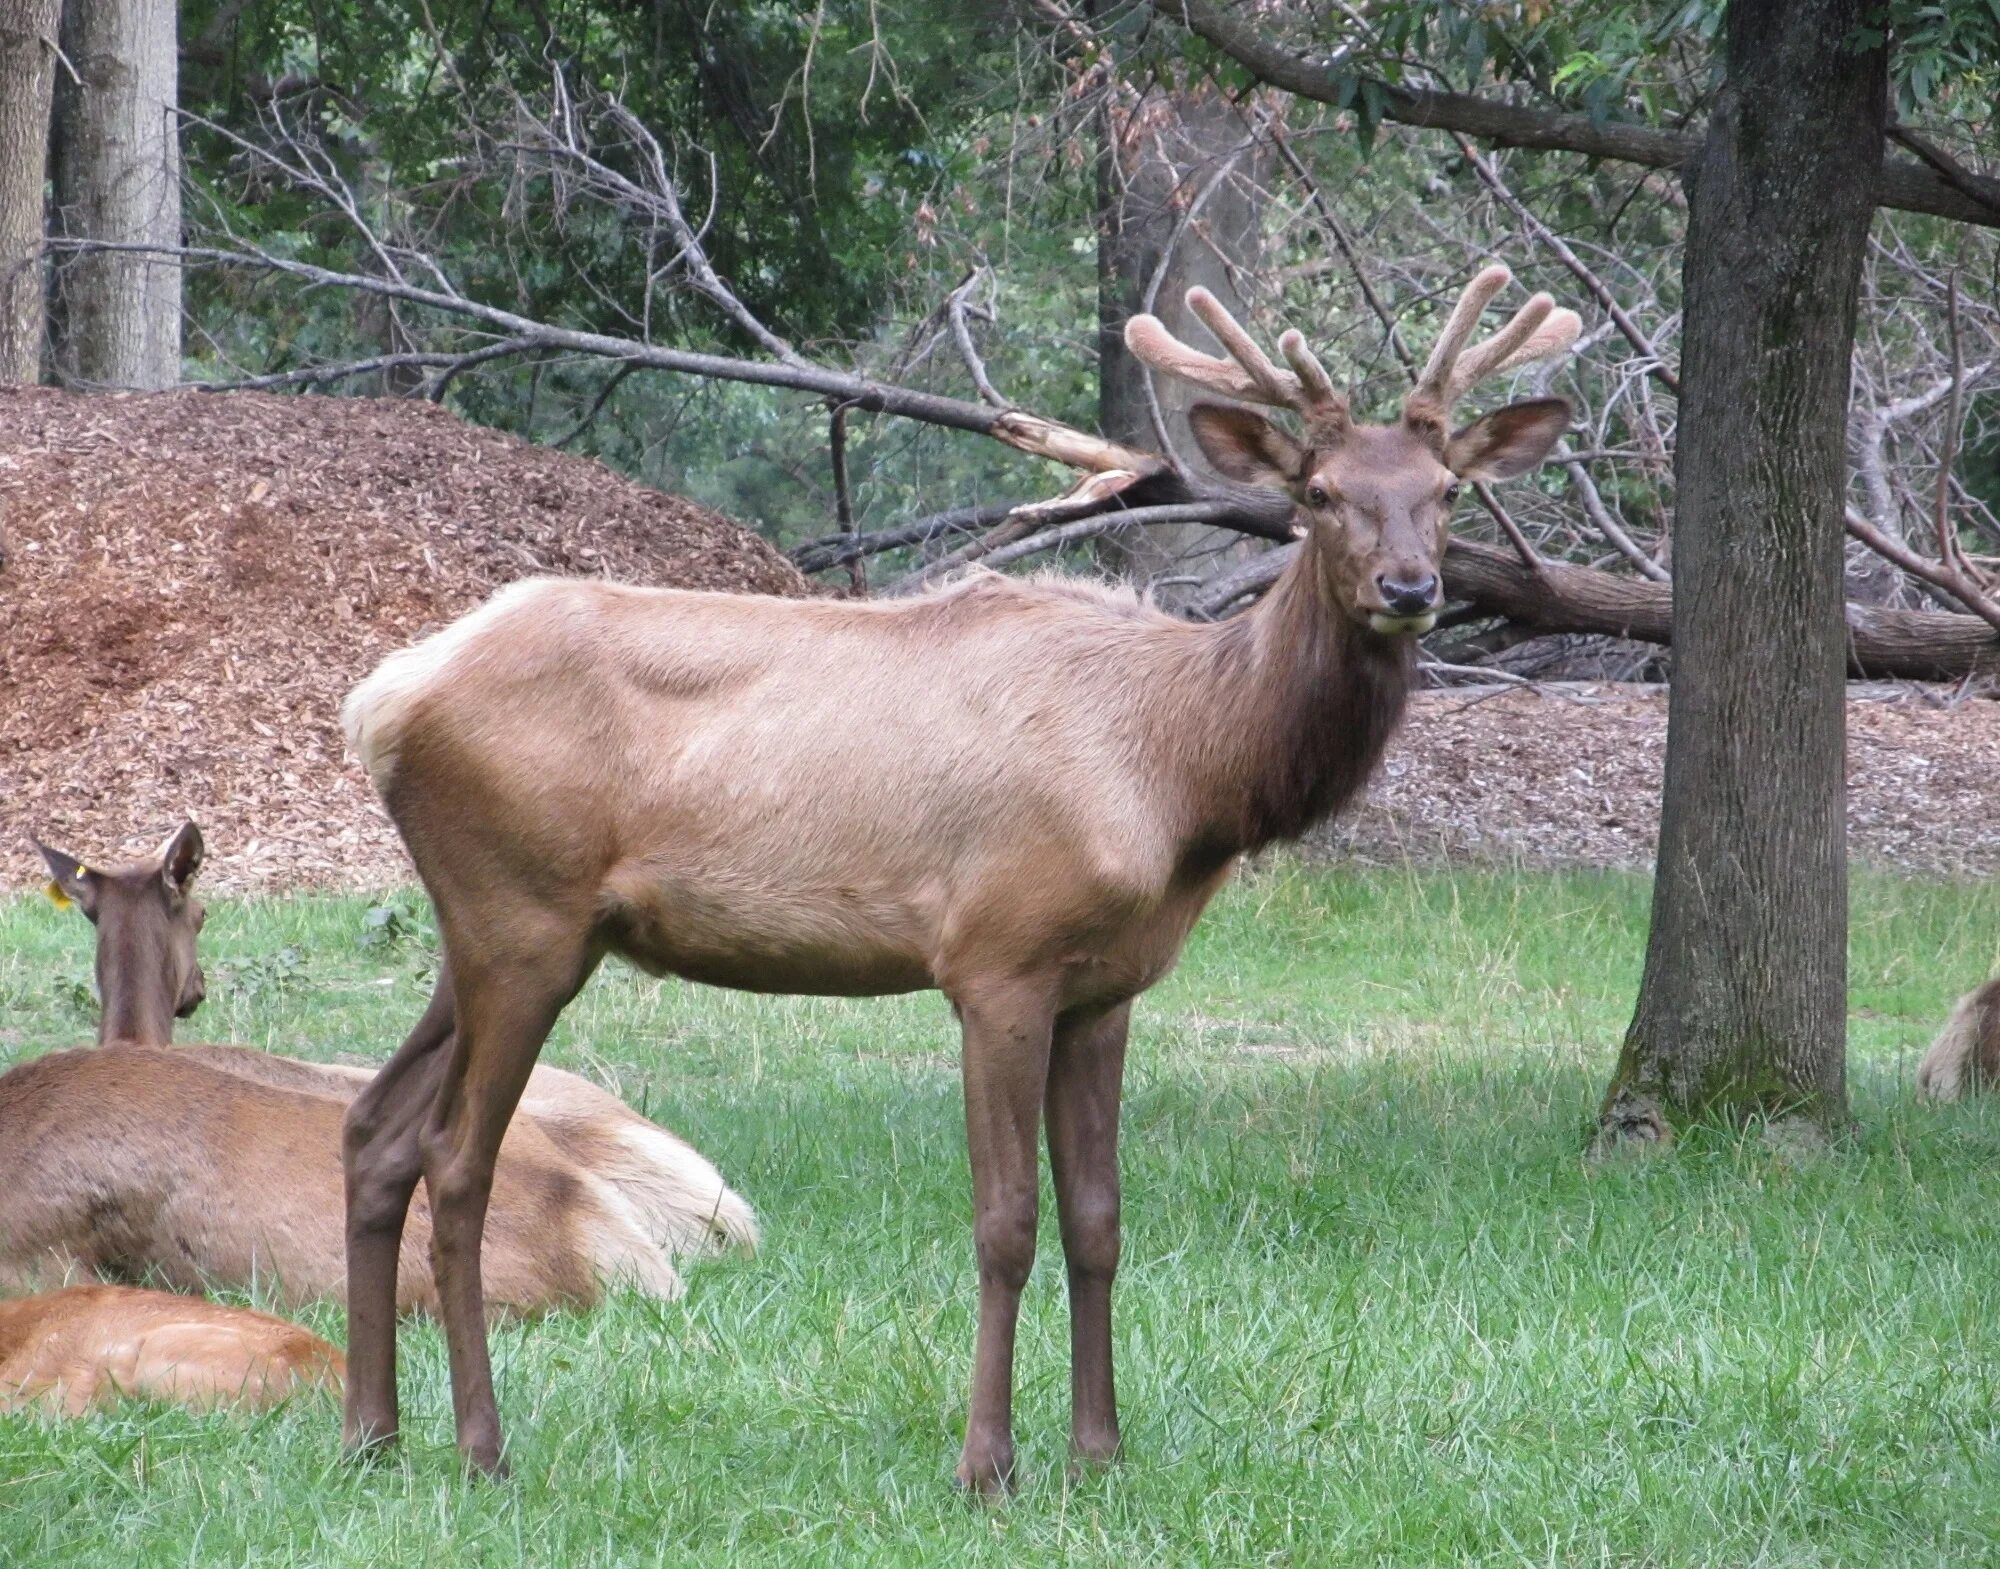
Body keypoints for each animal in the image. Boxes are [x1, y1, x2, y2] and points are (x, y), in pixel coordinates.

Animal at [344, 266, 1584, 1480]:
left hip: (486, 930)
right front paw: (987, 1462)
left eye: (1446, 490)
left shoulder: (1105, 987)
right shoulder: (997, 959)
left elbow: (1098, 1218)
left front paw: (1097, 1452)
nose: (1410, 588)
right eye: (1318, 493)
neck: (1180, 773)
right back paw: (480, 1447)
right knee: (456, 1157)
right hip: (524, 920)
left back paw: (371, 1433)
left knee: (374, 1129)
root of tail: (381, 701)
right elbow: (1005, 1222)